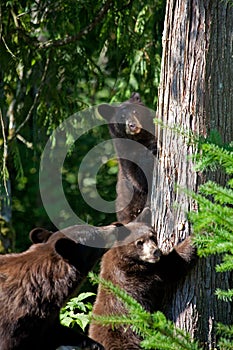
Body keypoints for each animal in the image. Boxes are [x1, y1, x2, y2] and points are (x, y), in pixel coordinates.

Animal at [97, 92, 157, 224]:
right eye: (122, 117)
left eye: (135, 111)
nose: (132, 126)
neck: (139, 140)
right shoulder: (125, 157)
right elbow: (139, 180)